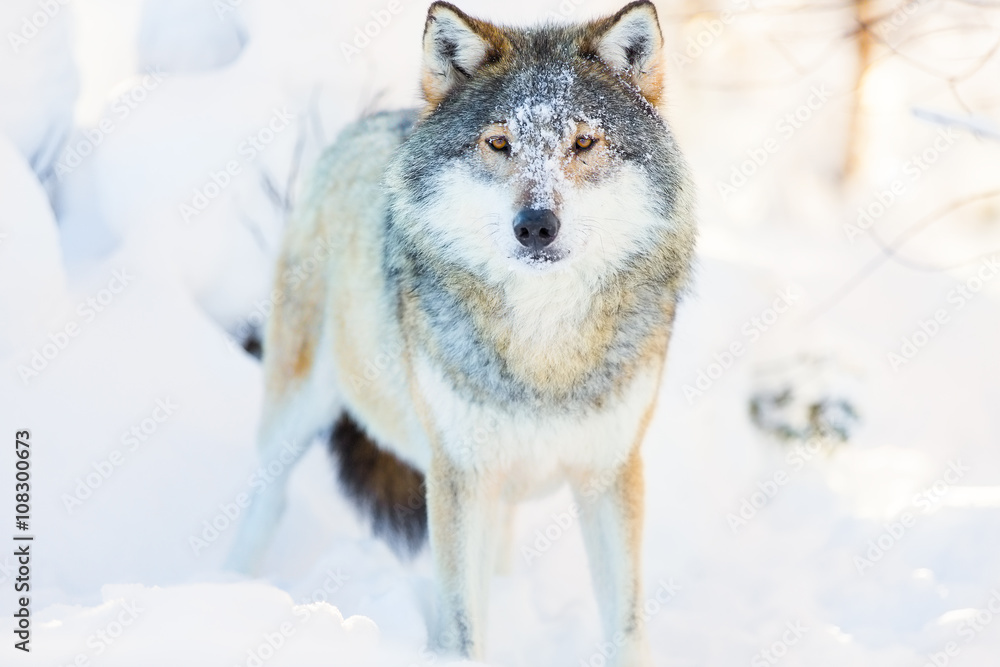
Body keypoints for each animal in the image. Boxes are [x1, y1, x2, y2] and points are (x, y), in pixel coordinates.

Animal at [226, 1, 696, 663]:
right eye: (498, 142)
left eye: (583, 142)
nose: (536, 225)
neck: (542, 349)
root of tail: (374, 123)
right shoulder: (459, 476)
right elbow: (463, 626)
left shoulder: (609, 472)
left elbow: (625, 627)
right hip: (299, 413)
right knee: (267, 501)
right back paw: (228, 585)